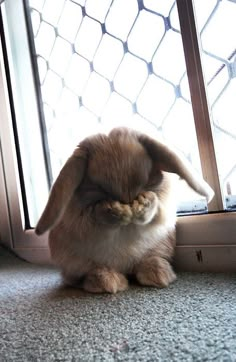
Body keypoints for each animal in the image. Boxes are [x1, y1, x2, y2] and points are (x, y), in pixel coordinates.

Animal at [35, 127, 214, 294]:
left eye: (147, 180)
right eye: (98, 187)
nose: (127, 202)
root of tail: (126, 269)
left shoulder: (163, 205)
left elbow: (156, 207)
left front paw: (143, 203)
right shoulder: (82, 221)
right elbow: (95, 216)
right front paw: (112, 210)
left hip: (161, 246)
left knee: (148, 262)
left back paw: (158, 274)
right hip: (74, 262)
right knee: (79, 278)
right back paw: (108, 281)